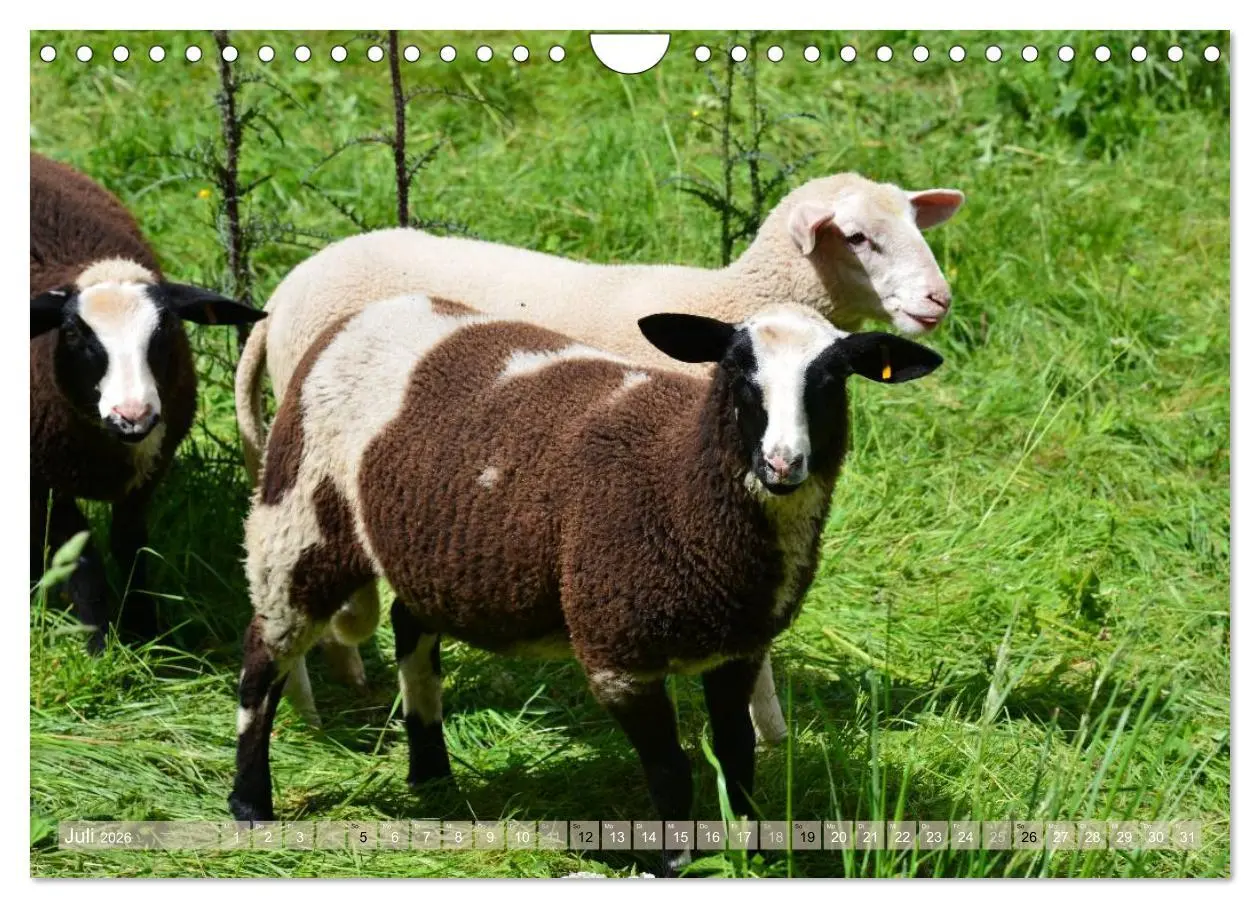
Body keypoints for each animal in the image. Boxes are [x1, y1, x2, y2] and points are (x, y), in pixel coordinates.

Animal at [30, 153, 264, 650]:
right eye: (73, 333)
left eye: (167, 328)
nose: (133, 416)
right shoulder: (44, 476)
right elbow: (82, 557)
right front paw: (100, 643)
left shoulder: (150, 469)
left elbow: (130, 542)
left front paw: (144, 629)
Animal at [228, 292, 943, 875]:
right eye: (739, 372)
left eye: (831, 378)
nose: (782, 464)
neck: (678, 482)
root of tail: (361, 315)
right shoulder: (617, 650)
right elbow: (670, 767)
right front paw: (678, 864)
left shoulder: (739, 646)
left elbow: (736, 752)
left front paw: (746, 850)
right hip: (299, 513)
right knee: (264, 654)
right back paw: (250, 804)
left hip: (423, 545)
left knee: (411, 630)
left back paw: (432, 776)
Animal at [234, 171, 964, 742]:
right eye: (859, 238)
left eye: (914, 224)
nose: (939, 299)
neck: (727, 300)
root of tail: (281, 297)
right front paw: (765, 729)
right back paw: (306, 711)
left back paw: (349, 678)